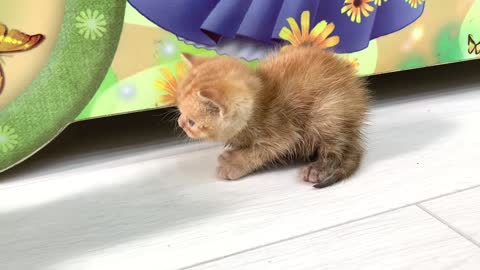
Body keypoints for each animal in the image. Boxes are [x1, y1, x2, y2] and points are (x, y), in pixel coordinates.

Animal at [175, 46, 368, 188]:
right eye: (180, 111)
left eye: (192, 122)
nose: (180, 123)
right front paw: (234, 152)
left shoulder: (283, 131)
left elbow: (260, 151)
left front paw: (234, 163)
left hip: (326, 111)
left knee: (334, 148)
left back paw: (317, 169)